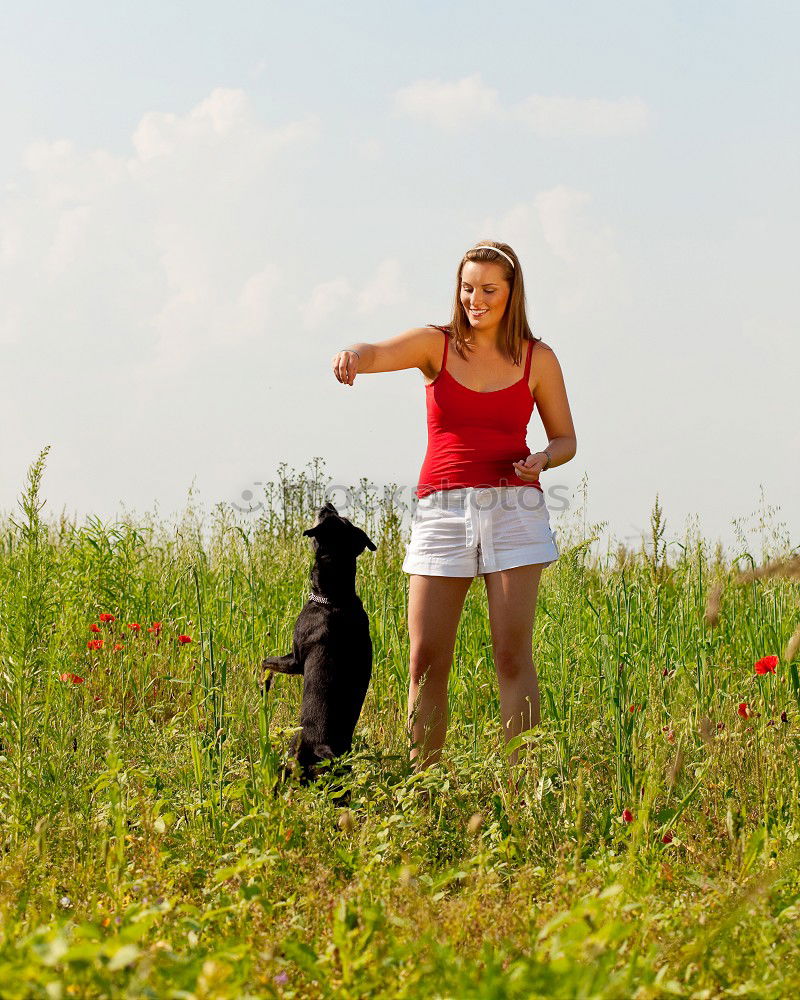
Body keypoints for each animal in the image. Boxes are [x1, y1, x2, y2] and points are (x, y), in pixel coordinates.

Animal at [260, 500, 376, 780]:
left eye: (327, 515)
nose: (328, 503)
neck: (335, 598)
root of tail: (325, 749)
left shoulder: (295, 660)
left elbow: (265, 661)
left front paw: (264, 685)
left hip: (292, 752)